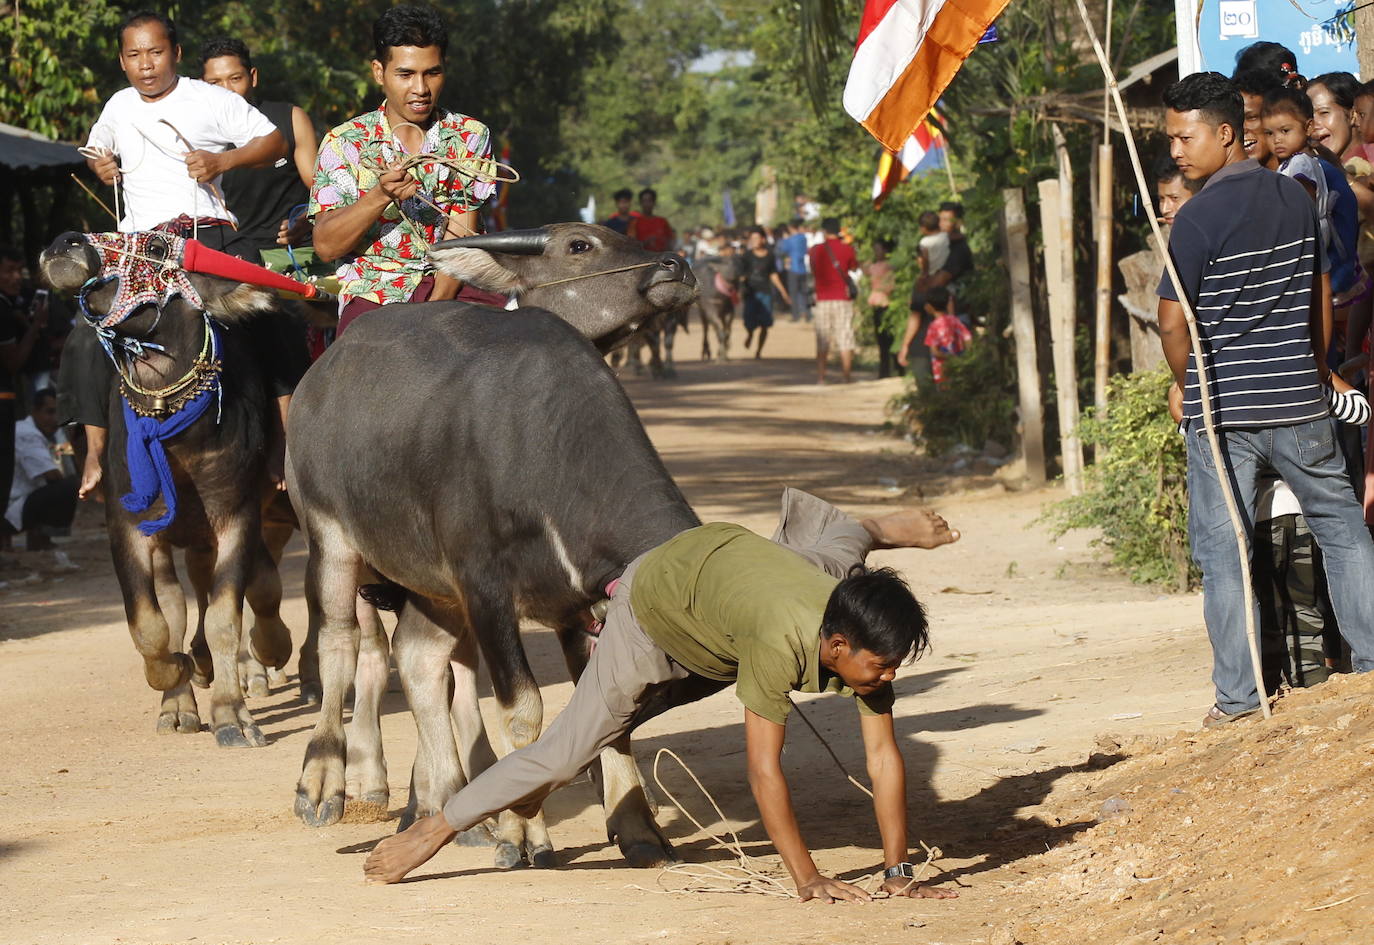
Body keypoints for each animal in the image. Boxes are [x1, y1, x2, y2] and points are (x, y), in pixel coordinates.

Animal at [287, 223, 697, 873]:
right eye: (579, 245)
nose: (675, 263)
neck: (539, 442)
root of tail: (318, 379)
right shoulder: (484, 586)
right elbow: (522, 710)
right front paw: (520, 830)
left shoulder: (584, 603)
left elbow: (601, 708)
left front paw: (636, 824)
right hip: (331, 539)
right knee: (342, 646)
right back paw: (329, 781)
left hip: (432, 586)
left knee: (419, 659)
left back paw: (448, 800)